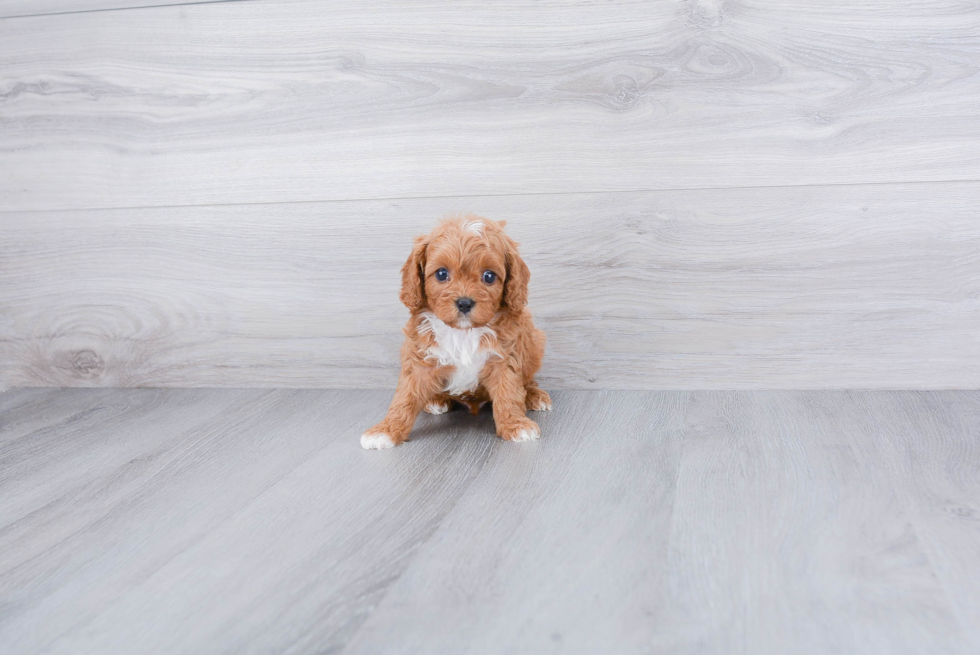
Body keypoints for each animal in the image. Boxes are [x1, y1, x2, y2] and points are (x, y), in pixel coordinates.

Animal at [362, 217, 552, 452]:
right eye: (442, 273)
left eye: (489, 276)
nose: (464, 302)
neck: (462, 332)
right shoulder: (419, 358)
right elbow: (404, 397)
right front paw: (385, 430)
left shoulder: (505, 358)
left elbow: (509, 392)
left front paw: (516, 424)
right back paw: (436, 400)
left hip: (534, 342)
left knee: (527, 380)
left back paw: (535, 395)